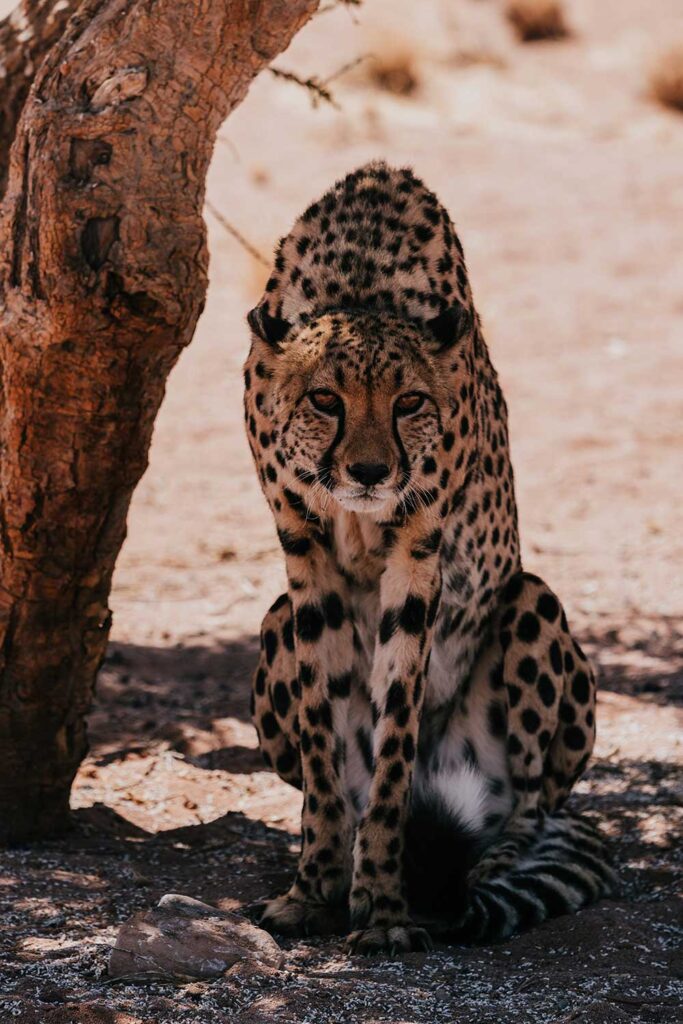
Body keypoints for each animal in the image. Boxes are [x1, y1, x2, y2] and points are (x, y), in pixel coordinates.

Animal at [244, 159, 614, 950]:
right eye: (325, 400)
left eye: (409, 402)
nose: (369, 472)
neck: (360, 284)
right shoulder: (301, 547)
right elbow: (325, 743)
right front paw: (315, 884)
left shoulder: (418, 550)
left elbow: (395, 735)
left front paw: (382, 905)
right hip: (274, 617)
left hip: (530, 600)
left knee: (533, 807)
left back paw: (492, 863)